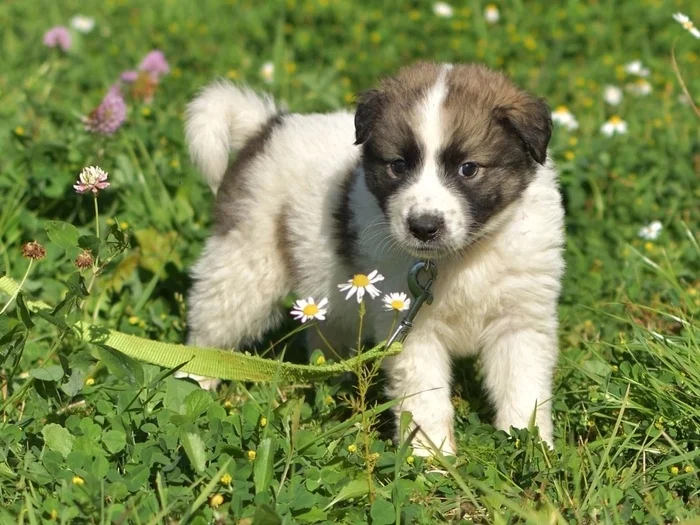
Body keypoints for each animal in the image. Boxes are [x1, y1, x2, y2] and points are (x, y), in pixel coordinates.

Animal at [185, 61, 564, 454]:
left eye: (469, 169)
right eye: (398, 165)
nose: (423, 226)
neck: (463, 257)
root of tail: (269, 127)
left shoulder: (520, 322)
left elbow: (523, 390)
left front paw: (532, 448)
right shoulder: (412, 331)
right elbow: (426, 401)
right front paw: (431, 458)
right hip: (246, 264)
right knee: (210, 332)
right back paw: (191, 383)